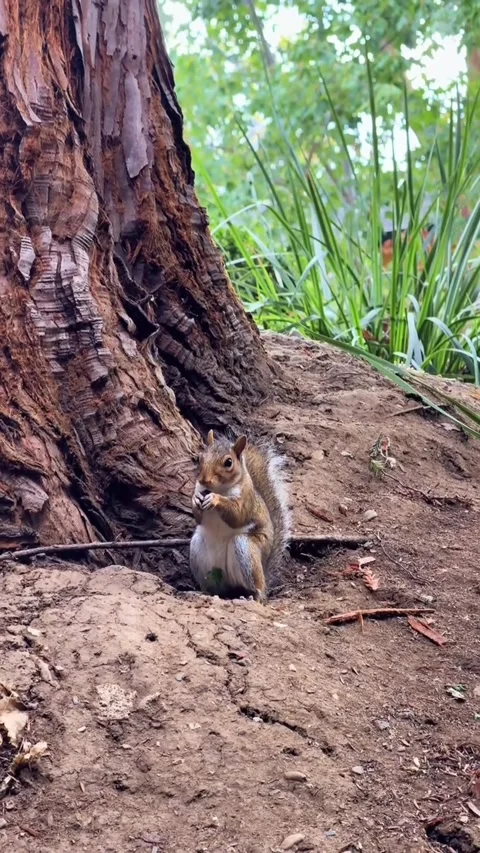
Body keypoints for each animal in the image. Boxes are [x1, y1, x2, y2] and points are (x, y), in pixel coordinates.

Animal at [189, 430, 290, 602]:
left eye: (228, 462)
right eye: (200, 458)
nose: (204, 480)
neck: (219, 488)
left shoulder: (246, 499)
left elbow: (238, 515)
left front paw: (215, 499)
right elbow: (198, 517)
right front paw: (195, 500)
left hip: (246, 548)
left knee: (258, 588)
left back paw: (253, 596)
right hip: (197, 550)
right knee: (216, 588)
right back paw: (203, 593)